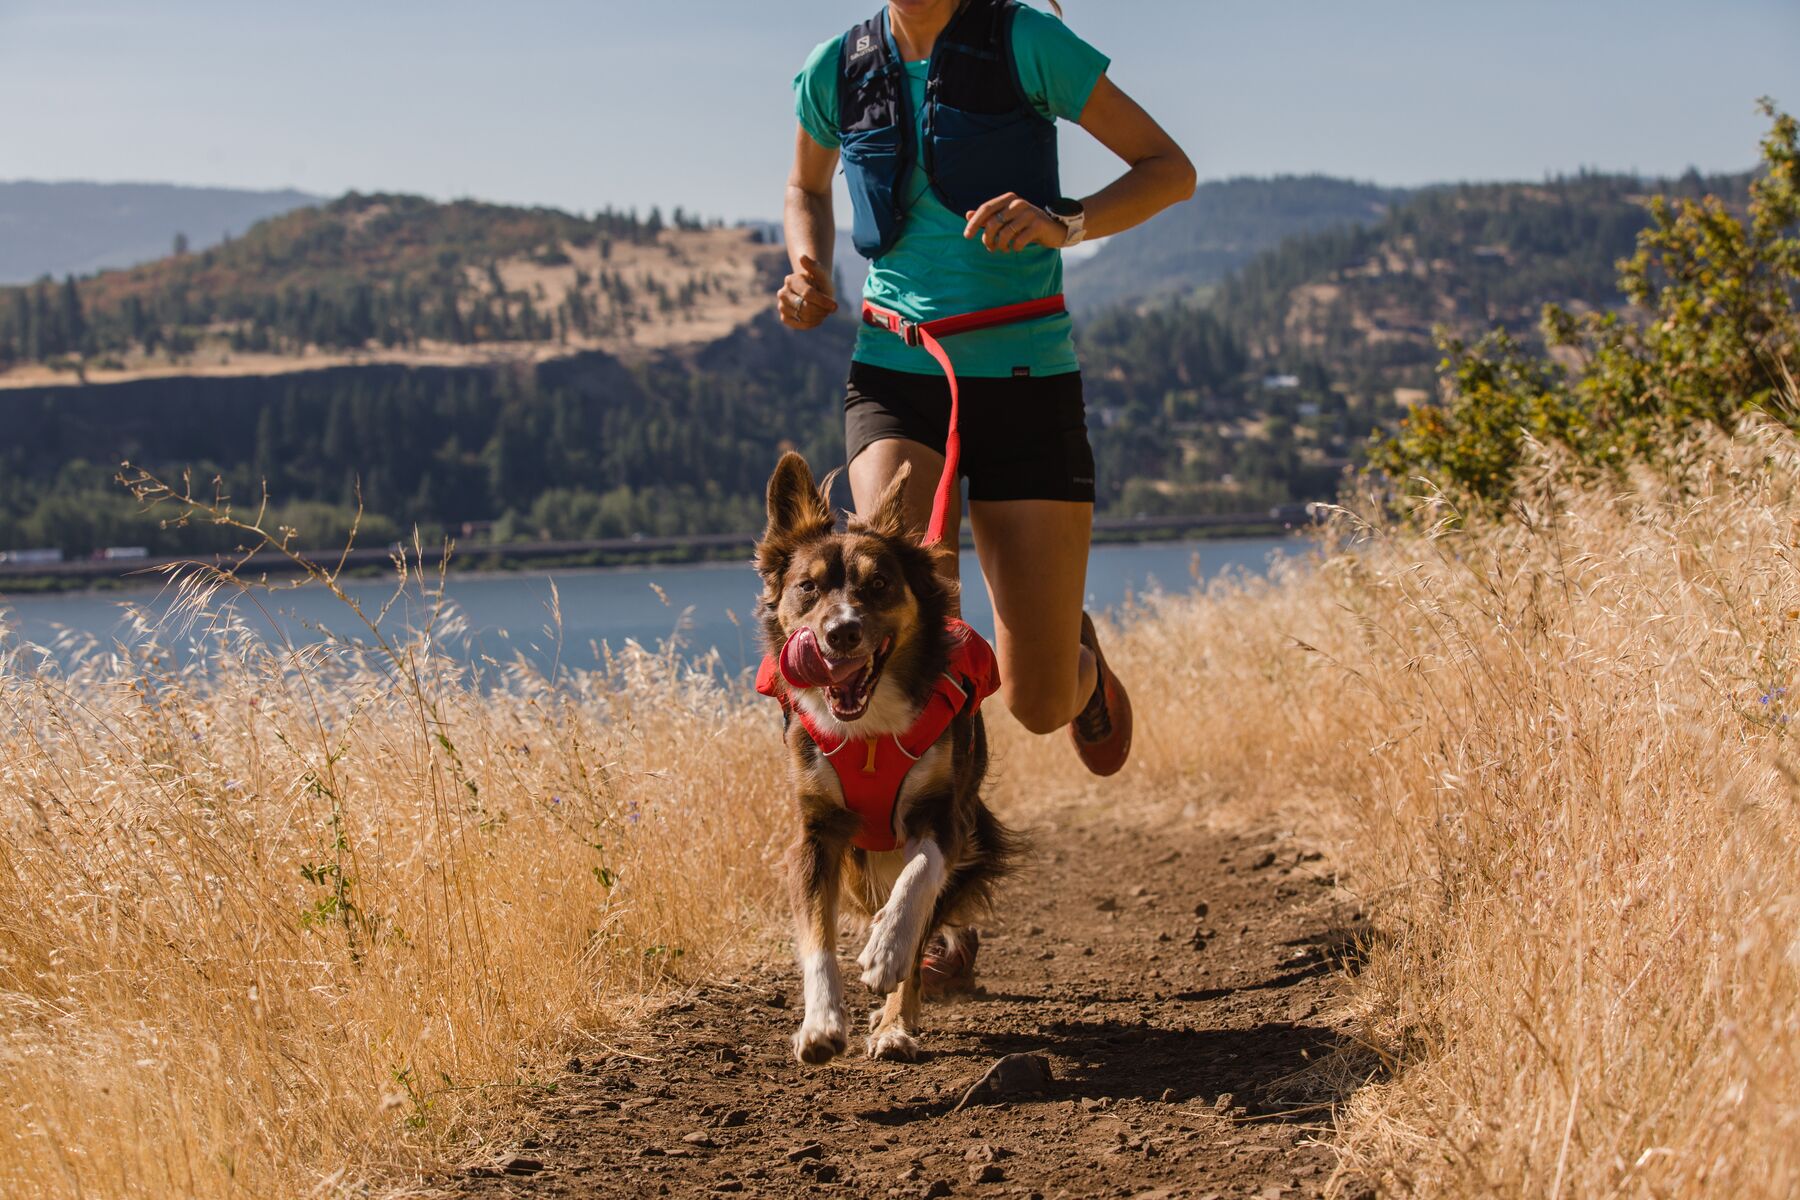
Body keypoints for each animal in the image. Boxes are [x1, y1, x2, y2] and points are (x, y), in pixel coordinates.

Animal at [752, 455, 1022, 1065]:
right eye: (807, 587)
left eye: (879, 584)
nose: (841, 632)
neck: (868, 730)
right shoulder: (816, 832)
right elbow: (816, 937)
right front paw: (821, 1024)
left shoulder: (945, 817)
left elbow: (918, 879)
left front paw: (886, 949)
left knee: (921, 925)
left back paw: (895, 1021)